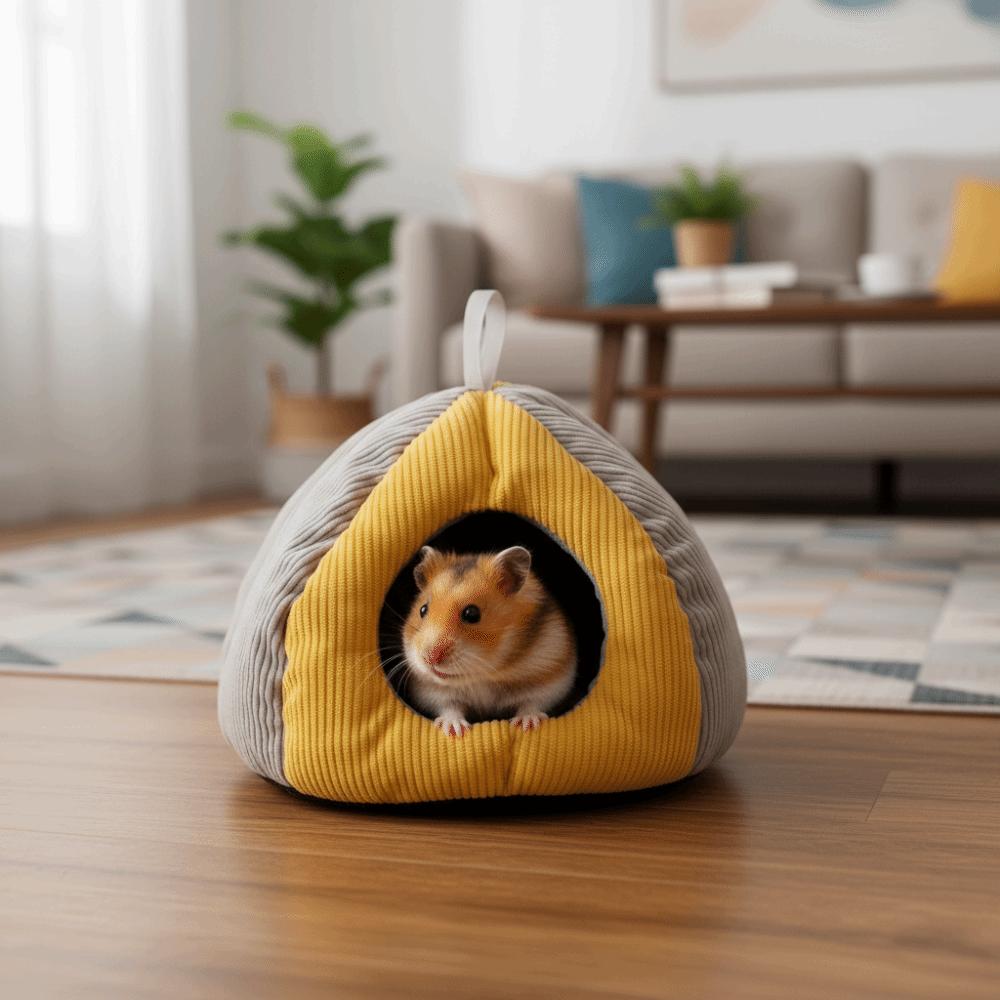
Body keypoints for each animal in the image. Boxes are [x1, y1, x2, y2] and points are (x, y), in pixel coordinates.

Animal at [401, 545, 576, 737]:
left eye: (471, 613)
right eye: (423, 610)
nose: (430, 658)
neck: (483, 673)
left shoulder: (552, 678)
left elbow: (533, 702)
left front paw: (526, 725)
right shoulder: (431, 691)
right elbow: (449, 706)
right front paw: (455, 731)